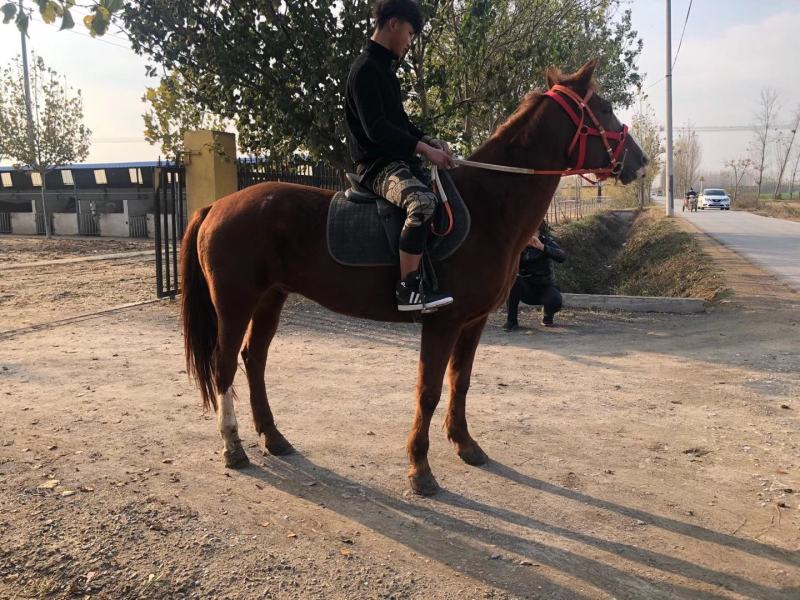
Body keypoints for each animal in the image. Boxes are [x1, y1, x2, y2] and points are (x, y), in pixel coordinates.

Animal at [180, 59, 648, 496]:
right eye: (604, 109)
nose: (640, 161)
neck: (487, 207)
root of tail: (216, 206)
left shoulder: (473, 323)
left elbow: (461, 382)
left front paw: (465, 445)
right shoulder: (442, 322)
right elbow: (429, 390)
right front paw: (420, 470)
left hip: (270, 299)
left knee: (253, 359)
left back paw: (273, 437)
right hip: (235, 304)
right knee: (224, 365)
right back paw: (233, 446)